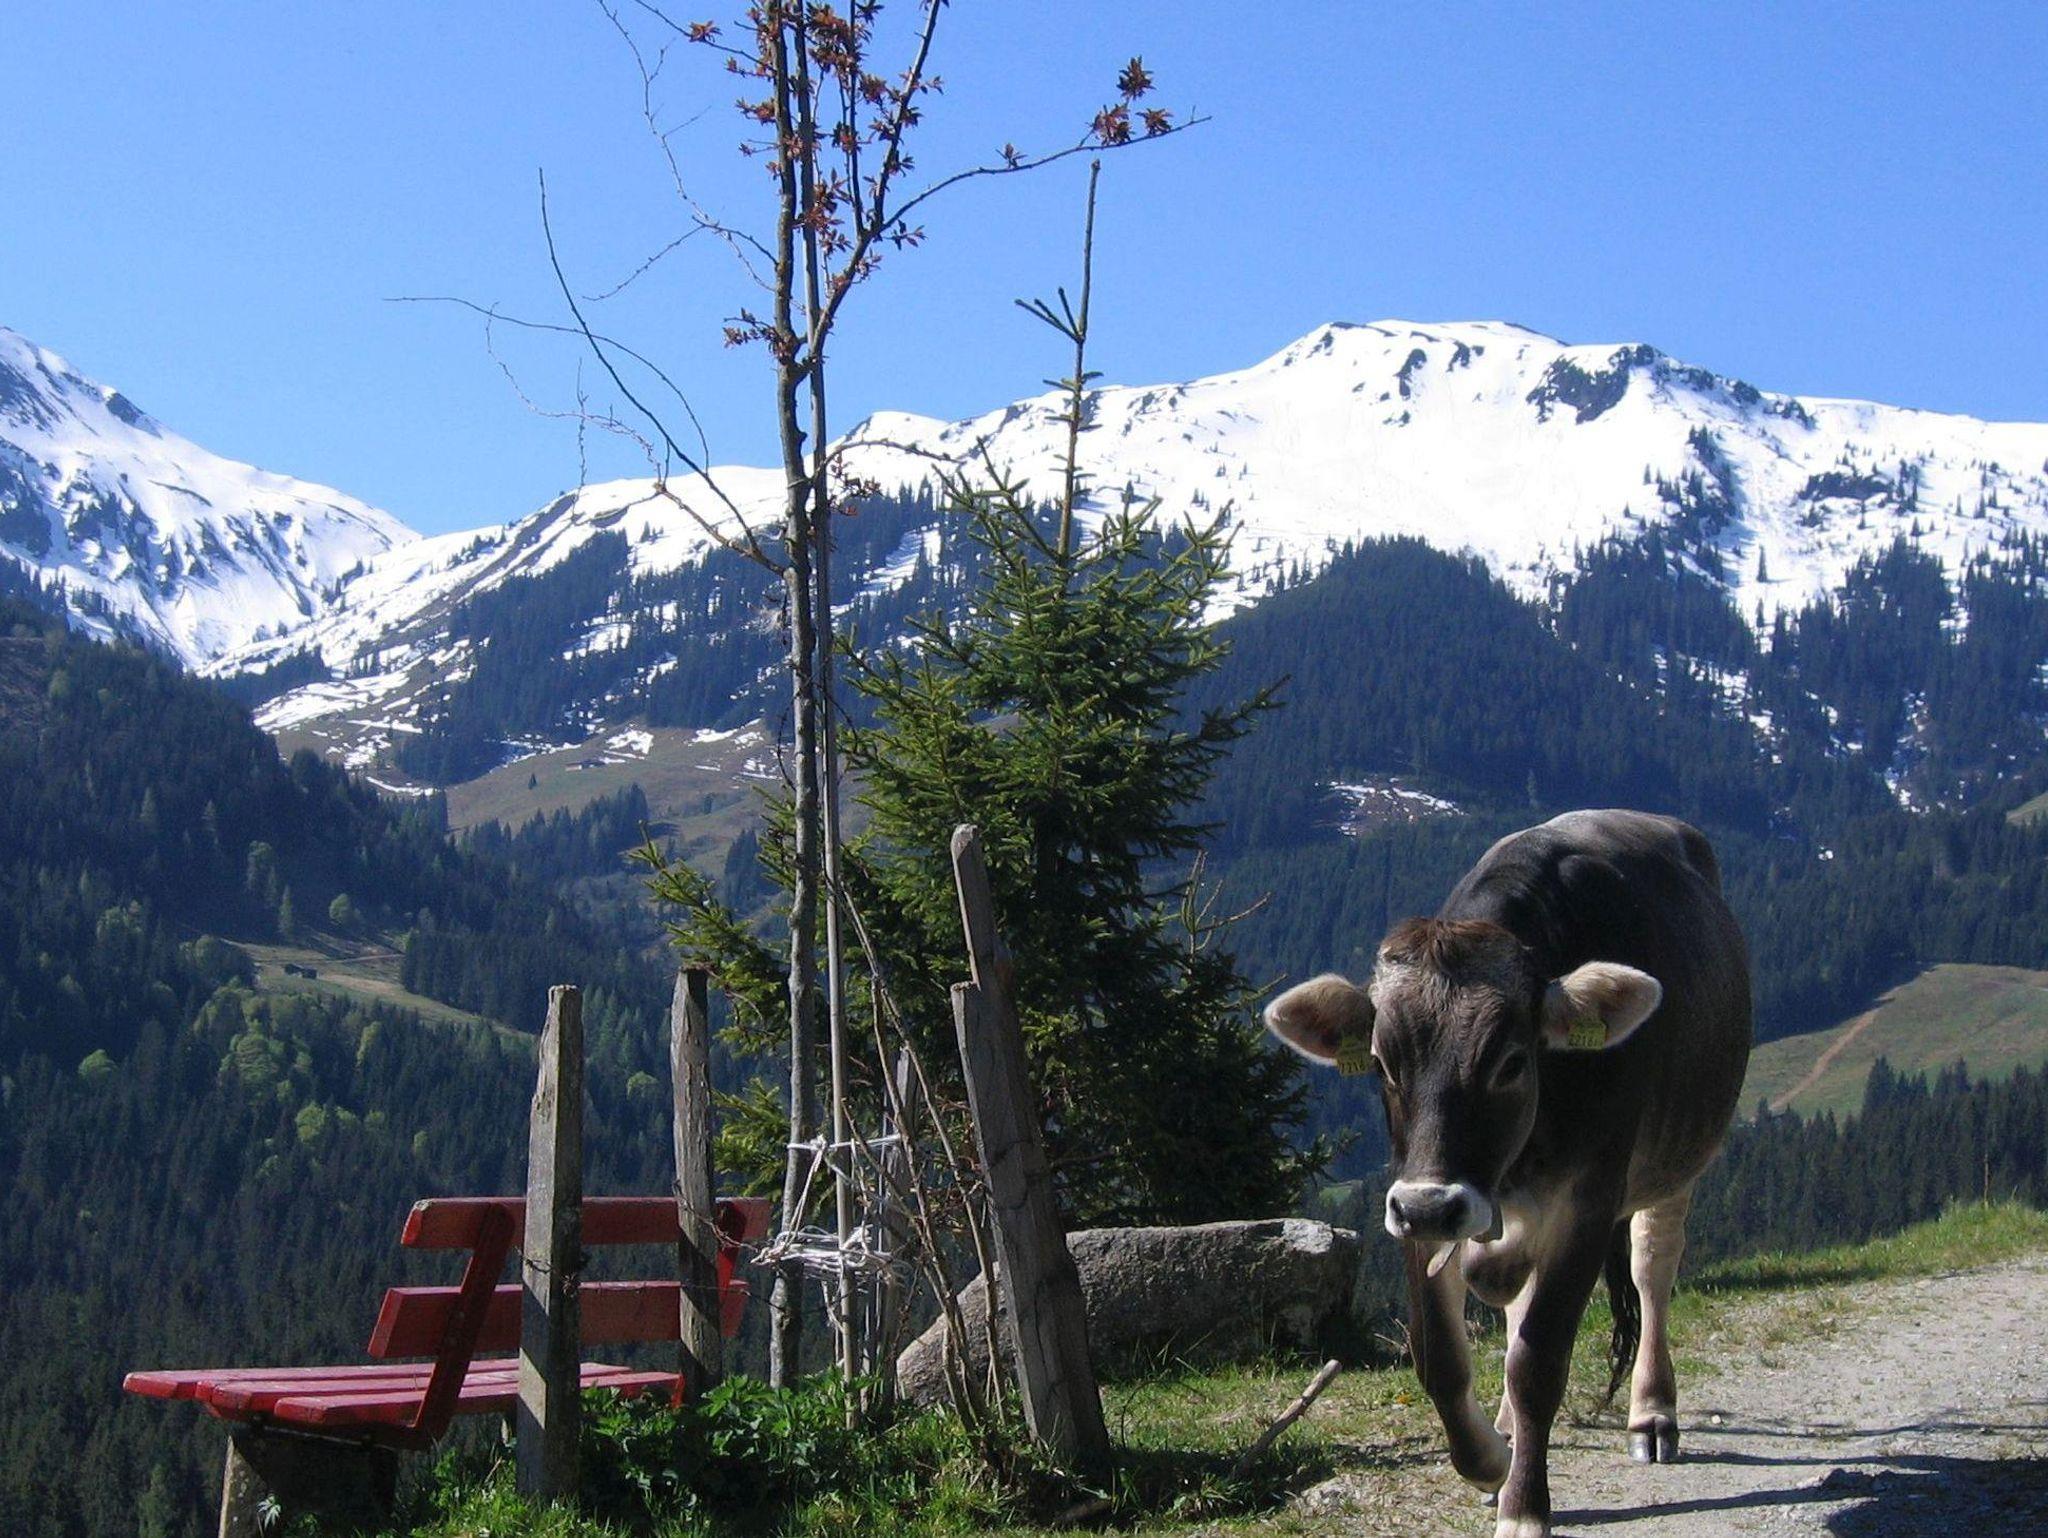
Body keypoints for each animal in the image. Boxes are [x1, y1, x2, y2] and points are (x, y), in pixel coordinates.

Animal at [1264, 810, 1750, 1538]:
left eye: (1512, 1062)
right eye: (1381, 1063)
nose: (1432, 1208)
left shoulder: (1587, 1202)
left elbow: (1538, 1361)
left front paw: (1524, 1505)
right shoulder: (1414, 1193)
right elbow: (1438, 1357)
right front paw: (1492, 1460)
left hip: (1676, 1164)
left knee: (1651, 1270)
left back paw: (1652, 1414)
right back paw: (1511, 1430)